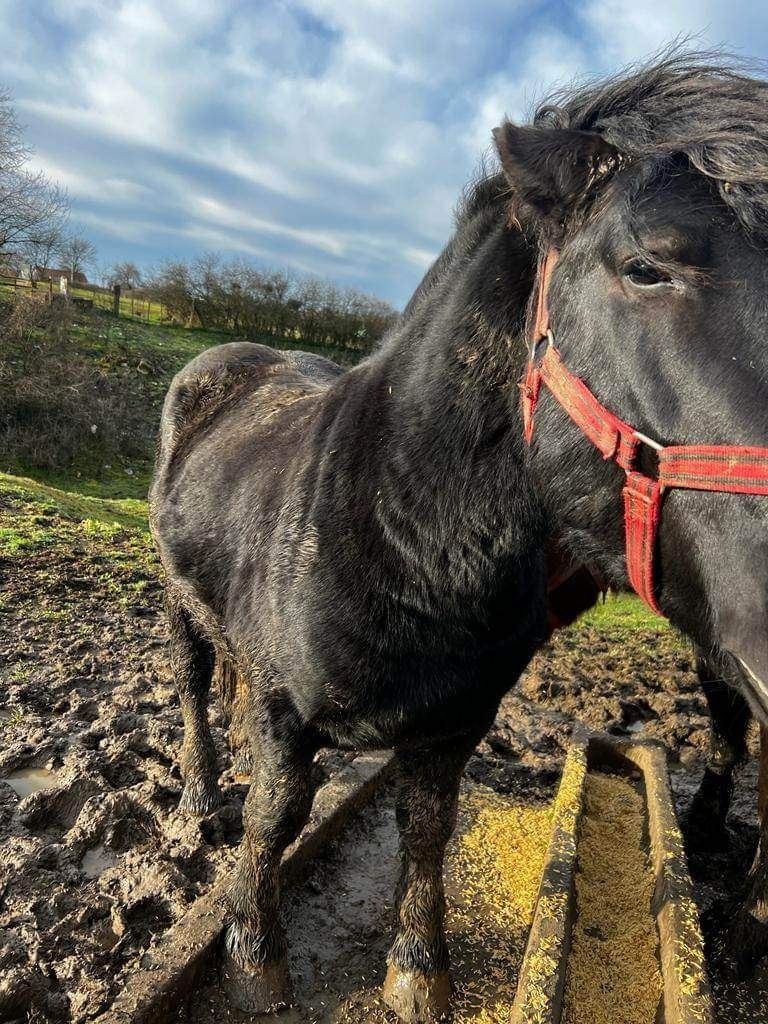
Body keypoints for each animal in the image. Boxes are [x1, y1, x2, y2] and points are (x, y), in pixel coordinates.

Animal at [150, 54, 768, 1015]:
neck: (402, 540)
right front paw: (255, 955)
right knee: (190, 686)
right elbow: (275, 815)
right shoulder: (288, 711)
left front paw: (418, 970)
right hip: (181, 601)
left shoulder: (454, 725)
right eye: (646, 266)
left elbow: (426, 830)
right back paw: (197, 798)